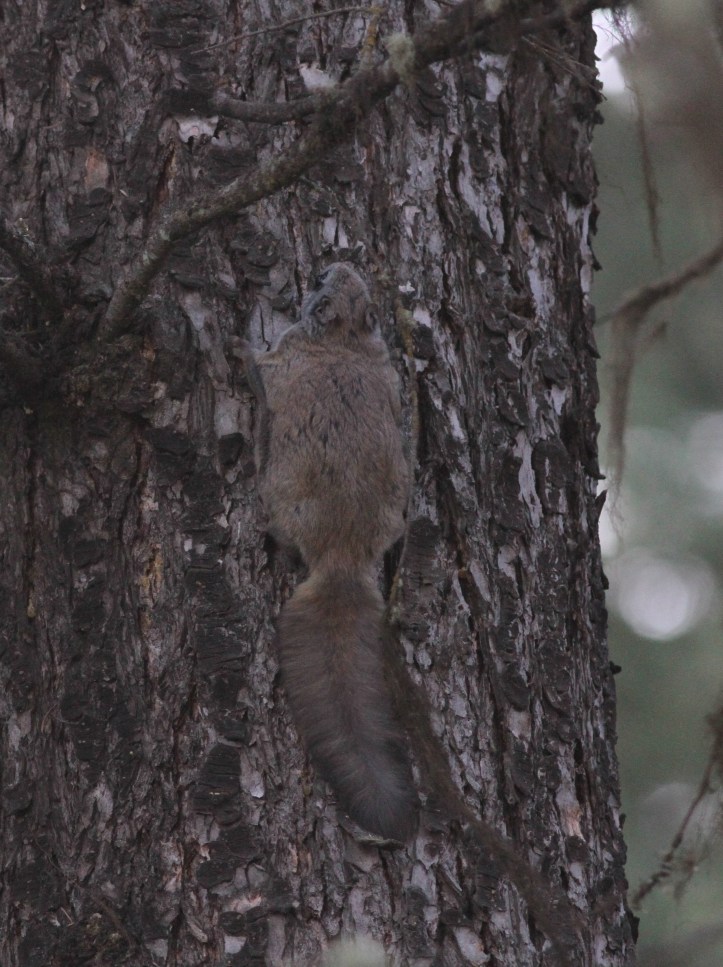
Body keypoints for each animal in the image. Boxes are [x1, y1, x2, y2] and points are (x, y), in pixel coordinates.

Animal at [241, 263, 419, 841]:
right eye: (337, 278)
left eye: (320, 282)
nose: (339, 263)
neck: (345, 342)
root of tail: (342, 563)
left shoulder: (283, 356)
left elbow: (257, 364)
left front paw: (233, 339)